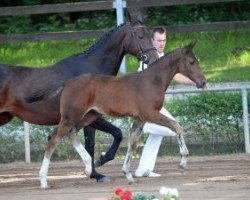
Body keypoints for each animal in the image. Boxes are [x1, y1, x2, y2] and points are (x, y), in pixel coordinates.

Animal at [40, 41, 206, 186]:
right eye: (192, 62)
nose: (203, 82)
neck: (152, 80)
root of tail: (68, 83)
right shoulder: (150, 113)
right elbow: (176, 126)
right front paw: (183, 162)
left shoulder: (140, 119)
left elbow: (133, 142)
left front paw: (128, 174)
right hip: (71, 116)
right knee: (54, 138)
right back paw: (43, 181)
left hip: (89, 115)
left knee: (71, 132)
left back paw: (88, 168)